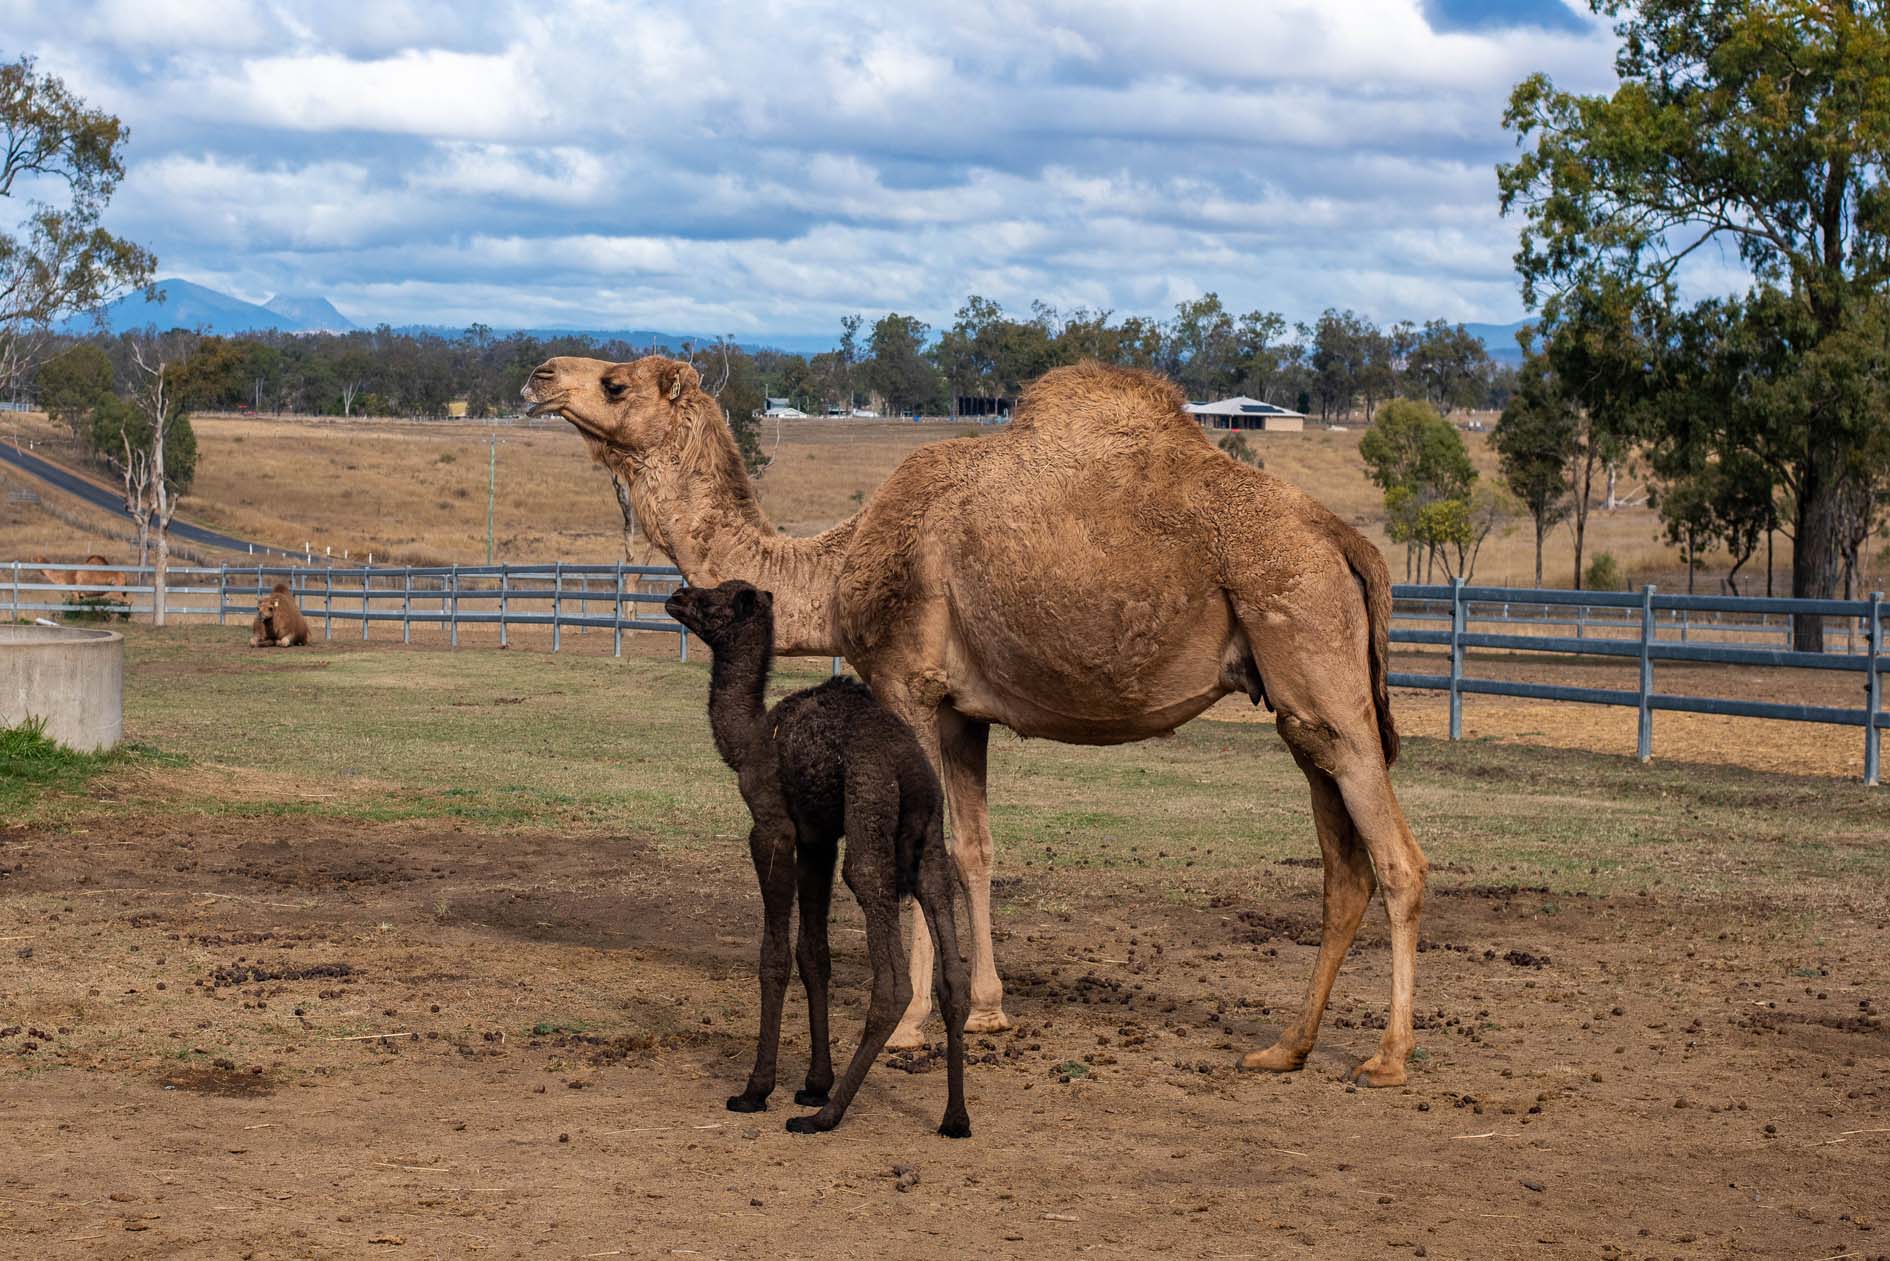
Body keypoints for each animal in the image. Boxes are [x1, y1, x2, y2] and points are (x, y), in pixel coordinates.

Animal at [665, 582, 975, 1141]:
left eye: (715, 599)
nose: (676, 595)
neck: (751, 738)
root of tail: (911, 772)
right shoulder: (818, 838)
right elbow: (815, 955)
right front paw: (813, 1082)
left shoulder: (773, 825)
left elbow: (774, 956)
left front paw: (756, 1090)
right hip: (929, 838)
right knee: (949, 957)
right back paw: (954, 1118)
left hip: (868, 809)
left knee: (890, 972)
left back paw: (824, 1117)